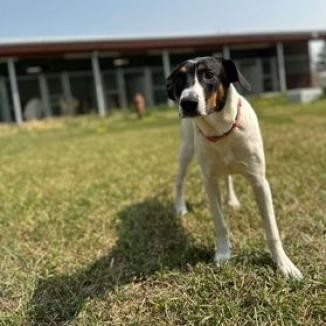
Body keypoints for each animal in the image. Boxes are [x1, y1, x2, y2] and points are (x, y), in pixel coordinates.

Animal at [168, 56, 304, 280]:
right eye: (180, 78)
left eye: (209, 75)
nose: (187, 103)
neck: (221, 130)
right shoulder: (209, 181)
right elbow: (220, 223)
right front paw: (223, 254)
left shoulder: (260, 182)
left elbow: (272, 230)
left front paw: (284, 264)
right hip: (186, 149)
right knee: (180, 180)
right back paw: (180, 208)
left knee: (228, 177)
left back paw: (232, 200)